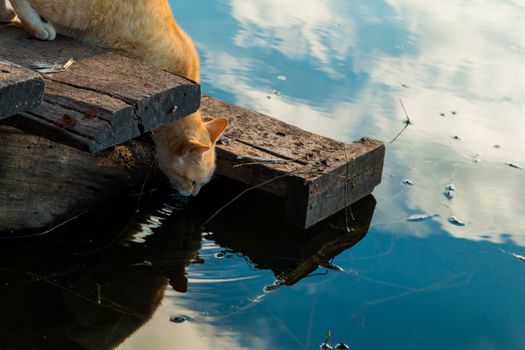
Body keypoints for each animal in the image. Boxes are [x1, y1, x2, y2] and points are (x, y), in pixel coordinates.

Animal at [1, 0, 227, 197]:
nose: (193, 195)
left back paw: (6, 15)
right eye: (194, 182)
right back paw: (38, 27)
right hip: (73, 11)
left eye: (201, 185)